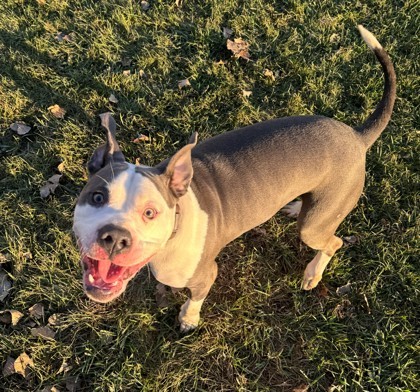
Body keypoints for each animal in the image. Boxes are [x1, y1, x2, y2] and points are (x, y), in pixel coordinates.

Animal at [73, 25, 398, 330]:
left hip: (314, 228)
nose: (115, 237)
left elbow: (195, 298)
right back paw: (295, 206)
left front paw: (188, 318)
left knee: (333, 242)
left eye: (150, 212)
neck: (177, 221)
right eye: (97, 197)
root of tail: (356, 136)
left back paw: (312, 274)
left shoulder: (204, 274)